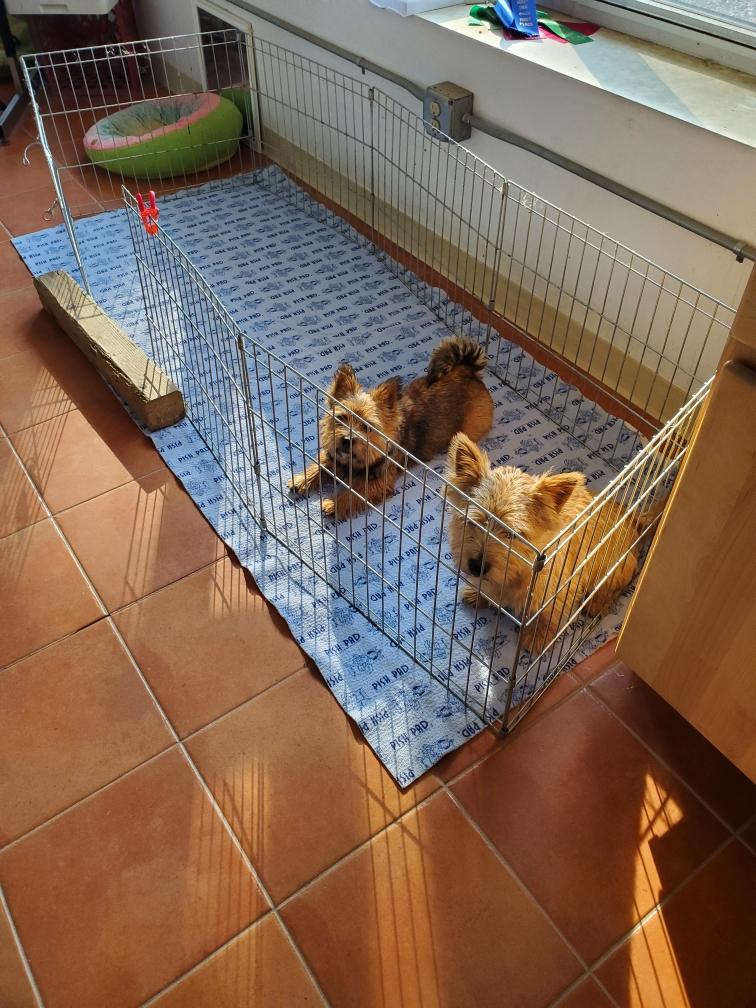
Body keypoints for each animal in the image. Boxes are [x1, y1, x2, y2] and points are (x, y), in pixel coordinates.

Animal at [288, 337, 494, 520]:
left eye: (367, 426)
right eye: (341, 418)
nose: (346, 440)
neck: (354, 461)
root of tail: (467, 372)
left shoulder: (378, 482)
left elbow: (354, 493)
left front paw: (334, 504)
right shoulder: (335, 455)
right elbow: (320, 464)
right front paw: (302, 479)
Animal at [445, 432, 662, 654]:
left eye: (512, 534)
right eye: (472, 521)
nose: (476, 566)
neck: (523, 570)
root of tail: (635, 519)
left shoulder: (559, 588)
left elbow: (548, 613)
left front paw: (537, 636)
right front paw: (478, 594)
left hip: (616, 567)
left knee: (616, 585)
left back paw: (597, 602)